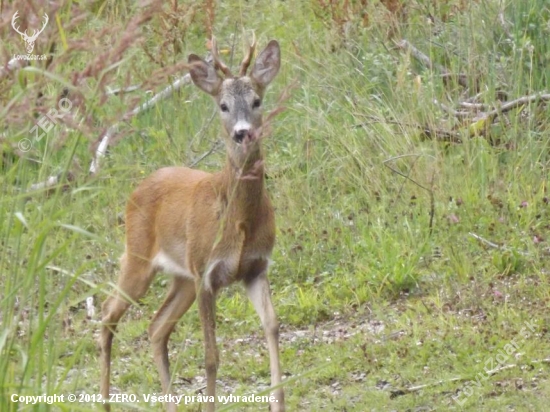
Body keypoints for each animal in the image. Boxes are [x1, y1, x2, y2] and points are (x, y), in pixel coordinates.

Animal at [99, 37, 286, 410]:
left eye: (257, 101)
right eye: (223, 105)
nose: (243, 133)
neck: (239, 221)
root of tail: (137, 188)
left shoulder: (255, 268)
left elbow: (272, 325)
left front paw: (279, 400)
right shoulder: (206, 273)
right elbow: (211, 356)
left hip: (181, 277)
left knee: (156, 328)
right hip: (139, 259)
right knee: (107, 314)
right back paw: (104, 401)